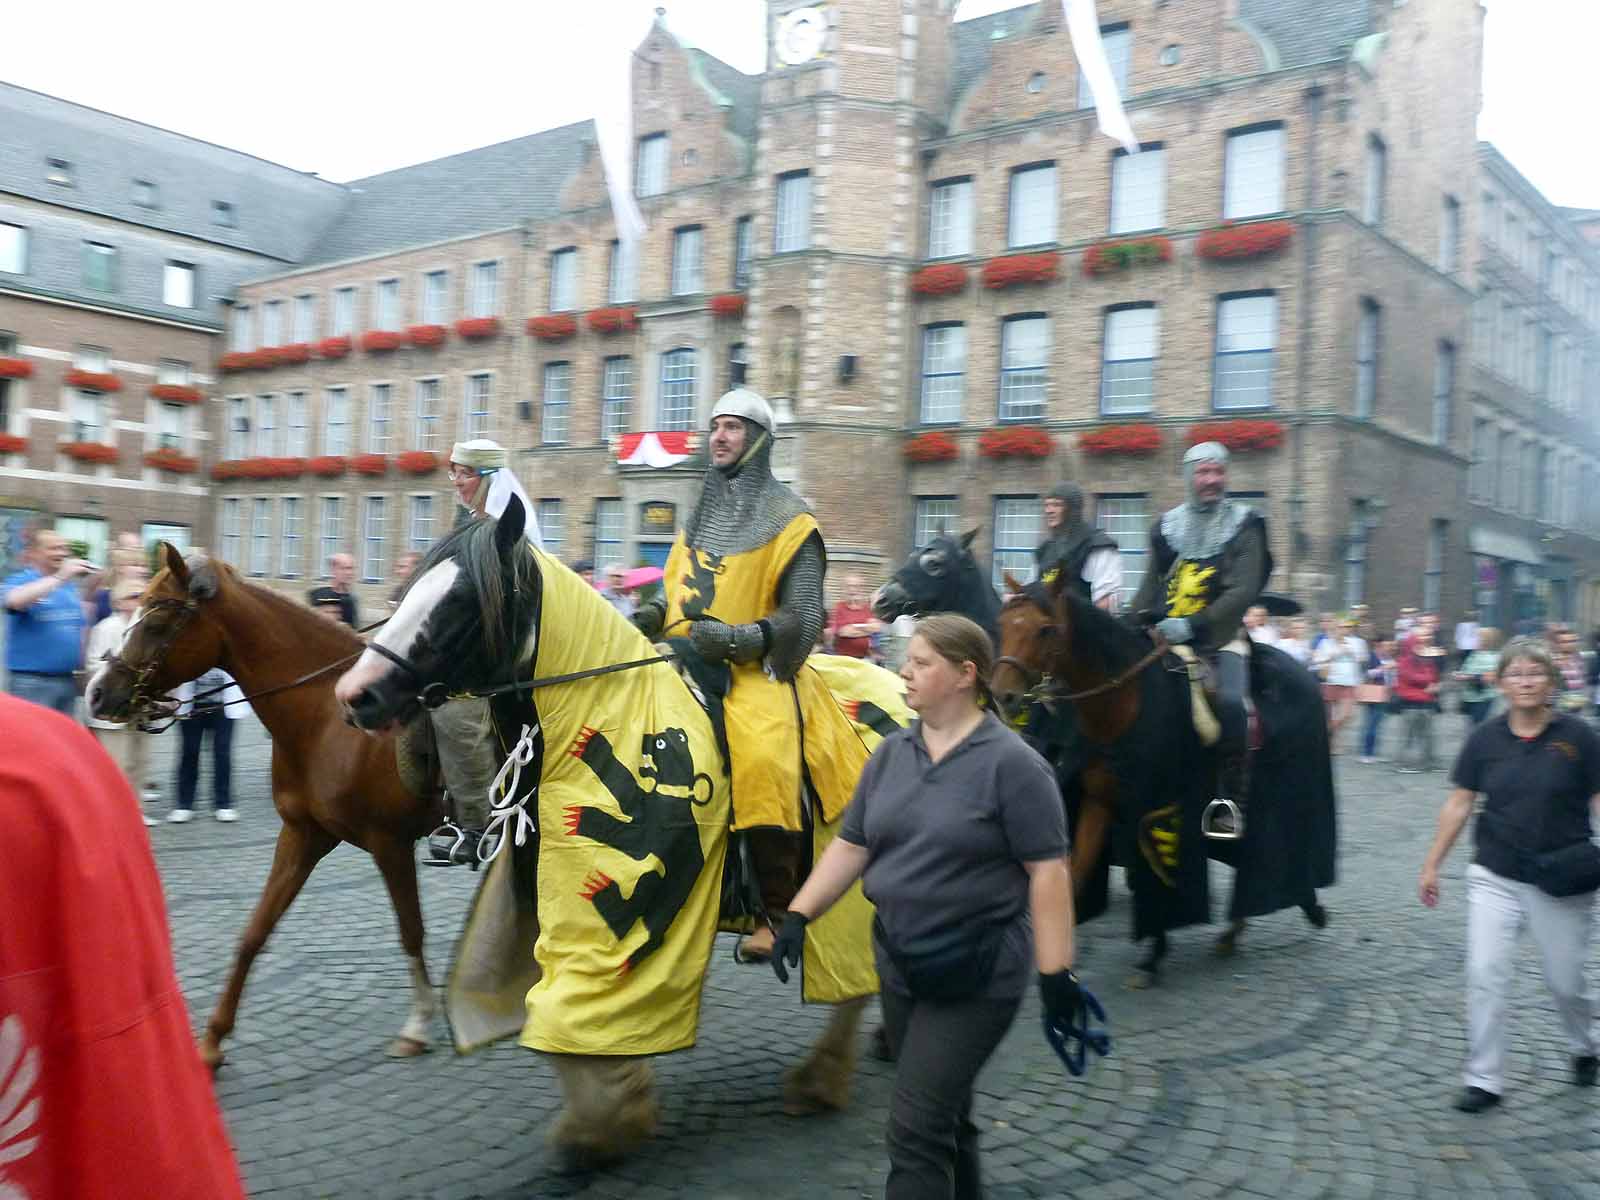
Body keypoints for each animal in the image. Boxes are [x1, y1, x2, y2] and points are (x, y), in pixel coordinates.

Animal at [88, 547, 444, 1068]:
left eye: (155, 621)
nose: (95, 691)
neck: (328, 718)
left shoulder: (390, 844)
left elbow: (412, 929)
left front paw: (419, 1022)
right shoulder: (303, 835)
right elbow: (254, 931)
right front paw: (213, 1038)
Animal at [332, 496, 902, 1164]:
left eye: (461, 599)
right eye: (410, 586)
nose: (355, 693)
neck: (605, 707)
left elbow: (584, 1012)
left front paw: (604, 1125)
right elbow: (568, 1016)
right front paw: (612, 1112)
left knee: (856, 980)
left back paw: (822, 1077)